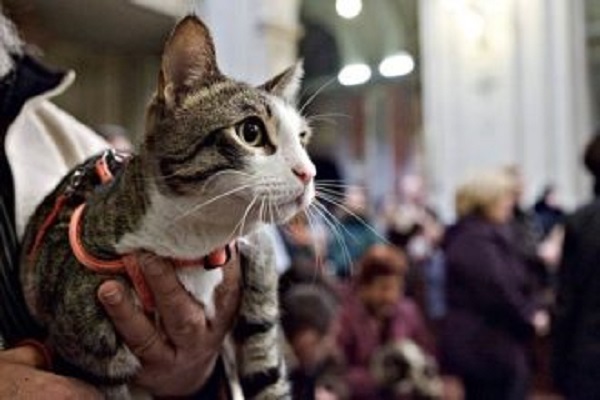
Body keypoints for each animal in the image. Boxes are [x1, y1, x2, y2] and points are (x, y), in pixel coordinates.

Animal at [18, 14, 314, 398]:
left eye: (302, 139)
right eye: (251, 132)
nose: (309, 172)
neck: (196, 243)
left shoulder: (259, 271)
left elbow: (266, 373)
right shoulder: (87, 348)